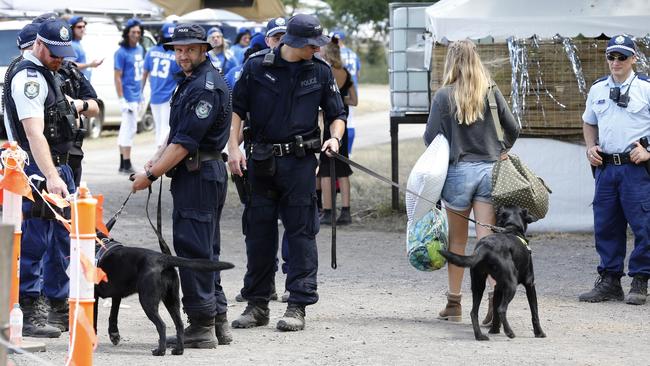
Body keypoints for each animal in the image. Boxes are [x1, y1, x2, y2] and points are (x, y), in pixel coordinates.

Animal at [91, 233, 233, 356]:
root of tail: (163, 259)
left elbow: (95, 319)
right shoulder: (117, 295)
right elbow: (113, 315)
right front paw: (114, 334)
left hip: (147, 301)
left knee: (161, 325)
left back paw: (160, 351)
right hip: (171, 300)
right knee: (179, 325)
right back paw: (178, 350)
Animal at [438, 206, 544, 340]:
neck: (512, 228)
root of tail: (484, 247)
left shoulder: (498, 287)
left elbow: (495, 313)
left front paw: (494, 330)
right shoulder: (530, 284)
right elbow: (534, 312)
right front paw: (539, 333)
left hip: (478, 284)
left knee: (474, 312)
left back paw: (480, 336)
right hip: (511, 285)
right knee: (501, 309)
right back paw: (509, 332)